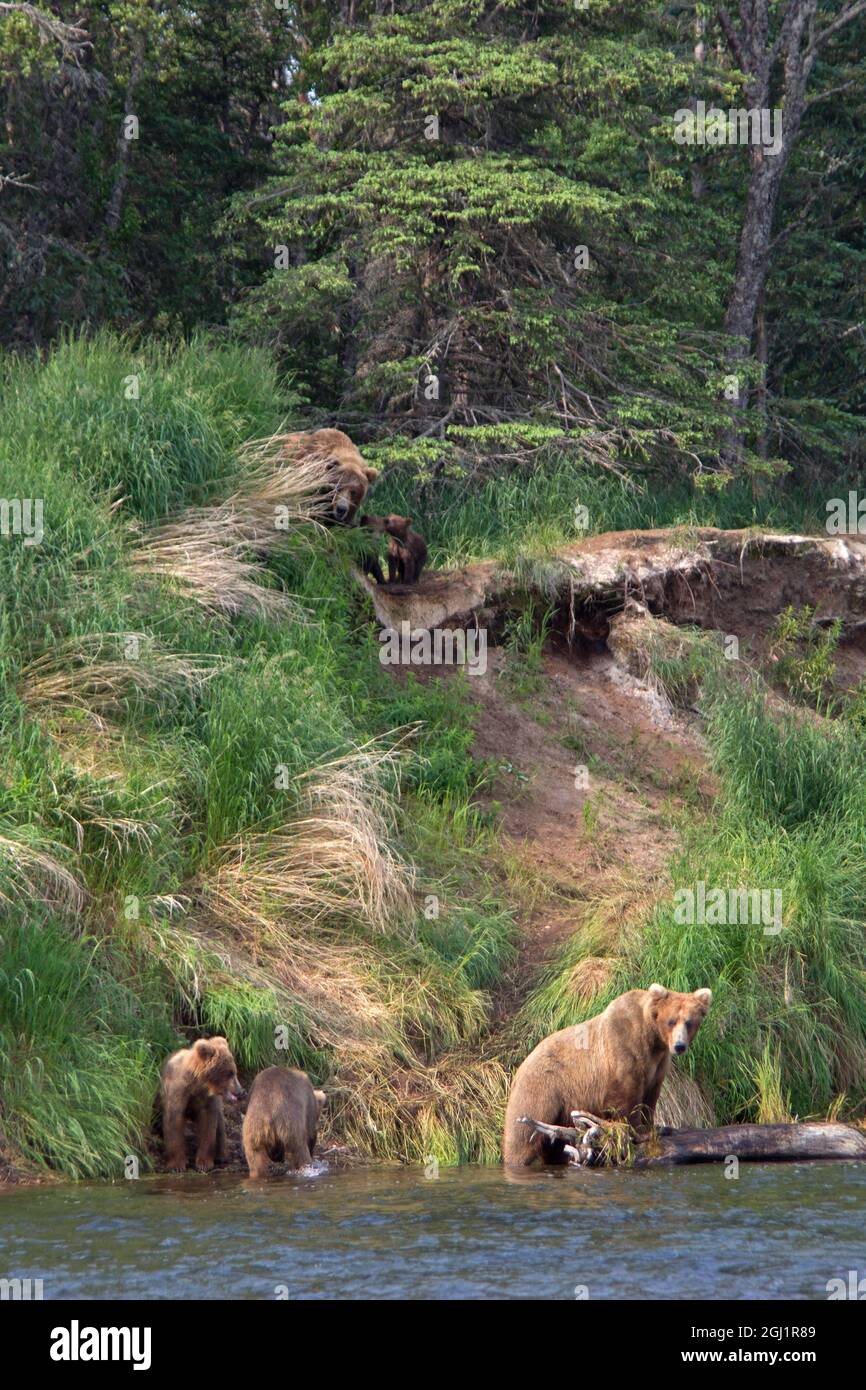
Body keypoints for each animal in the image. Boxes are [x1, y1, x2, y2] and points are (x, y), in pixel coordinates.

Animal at [161, 1039, 244, 1167]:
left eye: (234, 1072)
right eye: (230, 1073)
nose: (240, 1091)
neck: (198, 1085)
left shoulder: (207, 1100)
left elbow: (208, 1124)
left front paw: (204, 1162)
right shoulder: (179, 1091)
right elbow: (174, 1120)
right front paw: (177, 1164)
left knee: (220, 1126)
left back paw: (222, 1156)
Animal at [500, 984, 711, 1167]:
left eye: (689, 1022)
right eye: (671, 1021)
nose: (679, 1046)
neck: (652, 1039)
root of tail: (519, 1067)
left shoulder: (657, 1065)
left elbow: (650, 1097)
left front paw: (656, 1127)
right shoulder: (623, 1050)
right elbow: (625, 1097)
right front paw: (639, 1131)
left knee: (554, 1145)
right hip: (543, 1088)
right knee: (523, 1134)